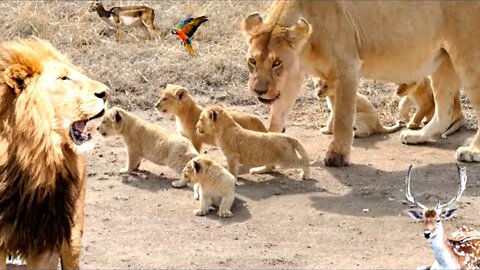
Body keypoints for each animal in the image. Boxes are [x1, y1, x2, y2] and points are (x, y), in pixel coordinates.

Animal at [242, 1, 480, 167]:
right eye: (252, 61)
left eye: (277, 63)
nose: (259, 90)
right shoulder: (293, 76)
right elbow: (277, 116)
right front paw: (269, 145)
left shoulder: (348, 66)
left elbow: (342, 118)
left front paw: (337, 156)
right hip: (443, 59)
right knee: (444, 111)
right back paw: (417, 136)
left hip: (468, 57)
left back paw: (472, 151)